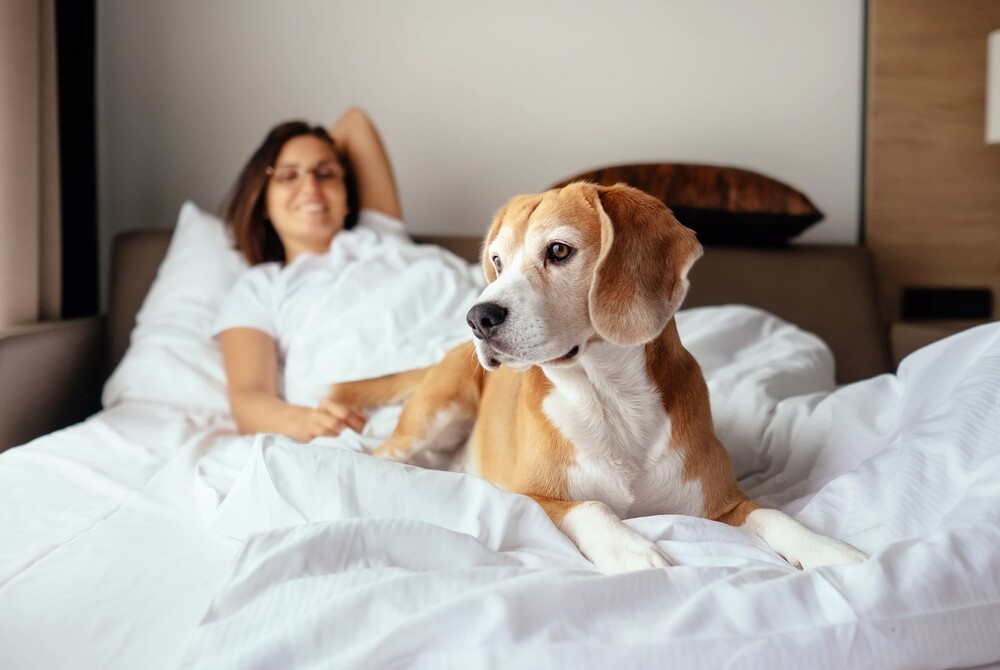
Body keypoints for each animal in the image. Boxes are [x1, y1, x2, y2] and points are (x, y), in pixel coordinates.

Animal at [334, 182, 868, 572]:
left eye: (558, 251)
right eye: (498, 262)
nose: (477, 318)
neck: (609, 398)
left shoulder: (724, 504)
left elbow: (775, 514)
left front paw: (828, 549)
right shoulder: (531, 497)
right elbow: (592, 507)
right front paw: (632, 549)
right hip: (435, 416)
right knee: (379, 453)